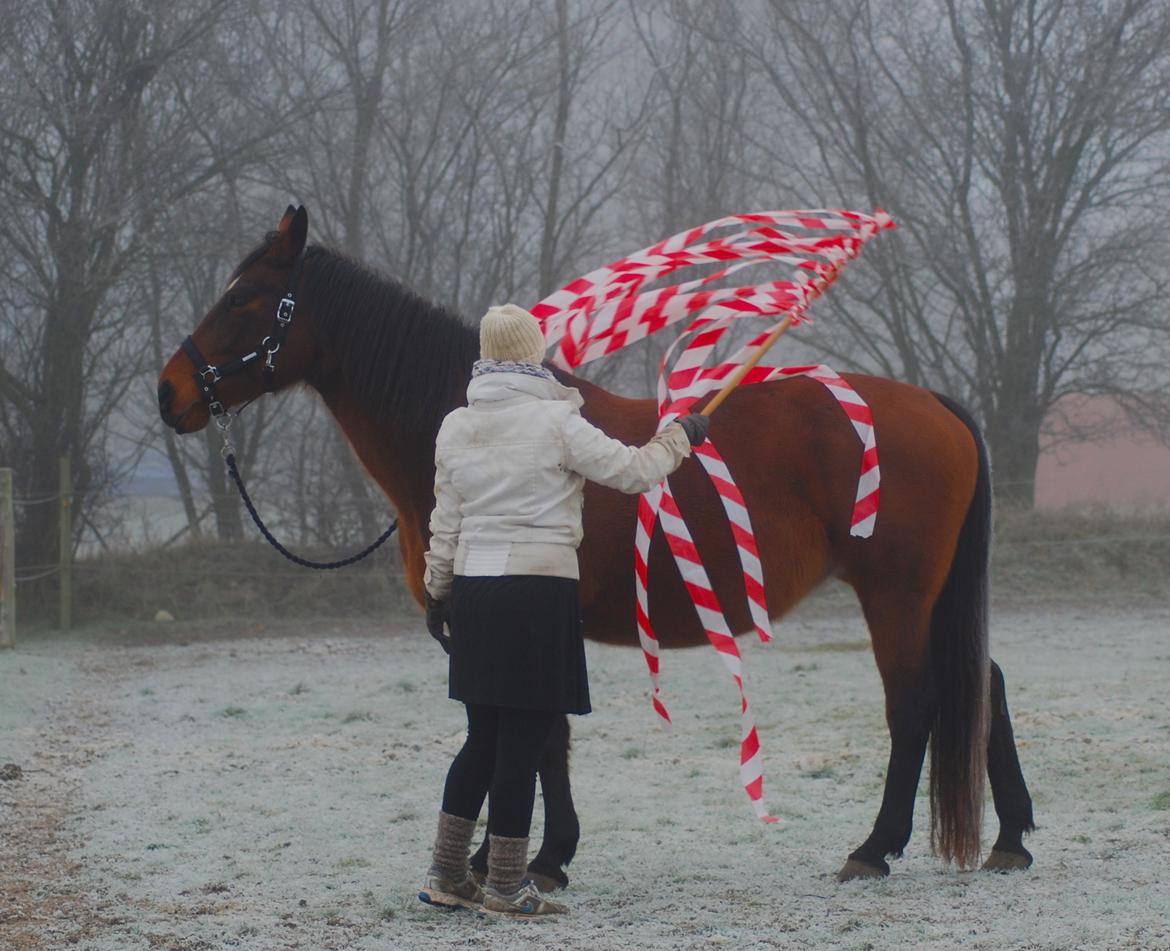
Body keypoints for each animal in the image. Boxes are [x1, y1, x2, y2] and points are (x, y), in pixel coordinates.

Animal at [155, 205, 1034, 884]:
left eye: (249, 299)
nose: (168, 392)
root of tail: (934, 404)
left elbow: (537, 734)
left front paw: (532, 859)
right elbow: (536, 735)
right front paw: (518, 855)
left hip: (897, 595)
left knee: (916, 702)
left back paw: (874, 848)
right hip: (932, 599)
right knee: (983, 681)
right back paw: (1010, 839)